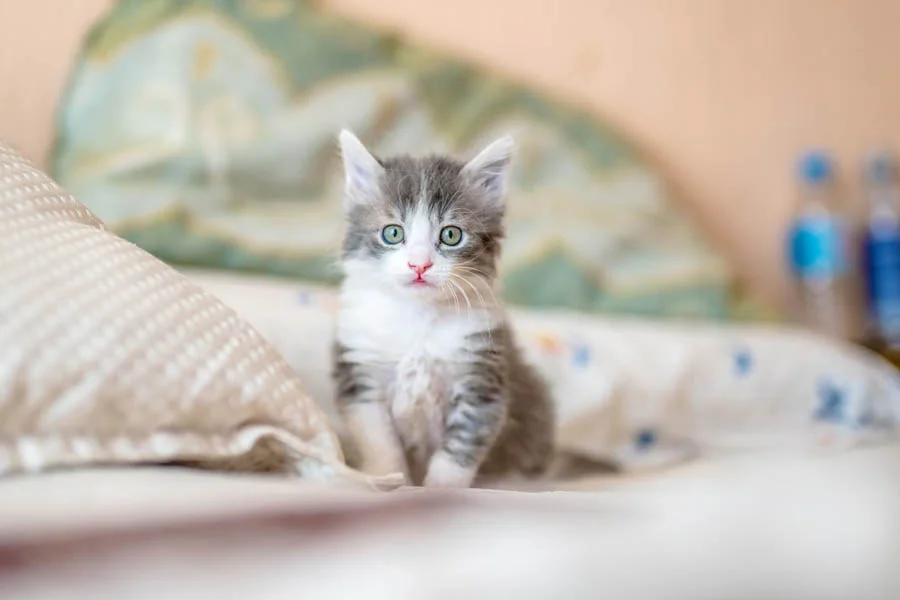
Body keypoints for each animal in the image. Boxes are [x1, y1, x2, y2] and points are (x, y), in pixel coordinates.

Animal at [332, 131, 552, 488]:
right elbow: (380, 443)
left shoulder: (481, 381)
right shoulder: (361, 378)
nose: (419, 264)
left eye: (450, 235)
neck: (418, 320)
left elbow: (458, 450)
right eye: (393, 232)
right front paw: (390, 479)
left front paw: (438, 489)